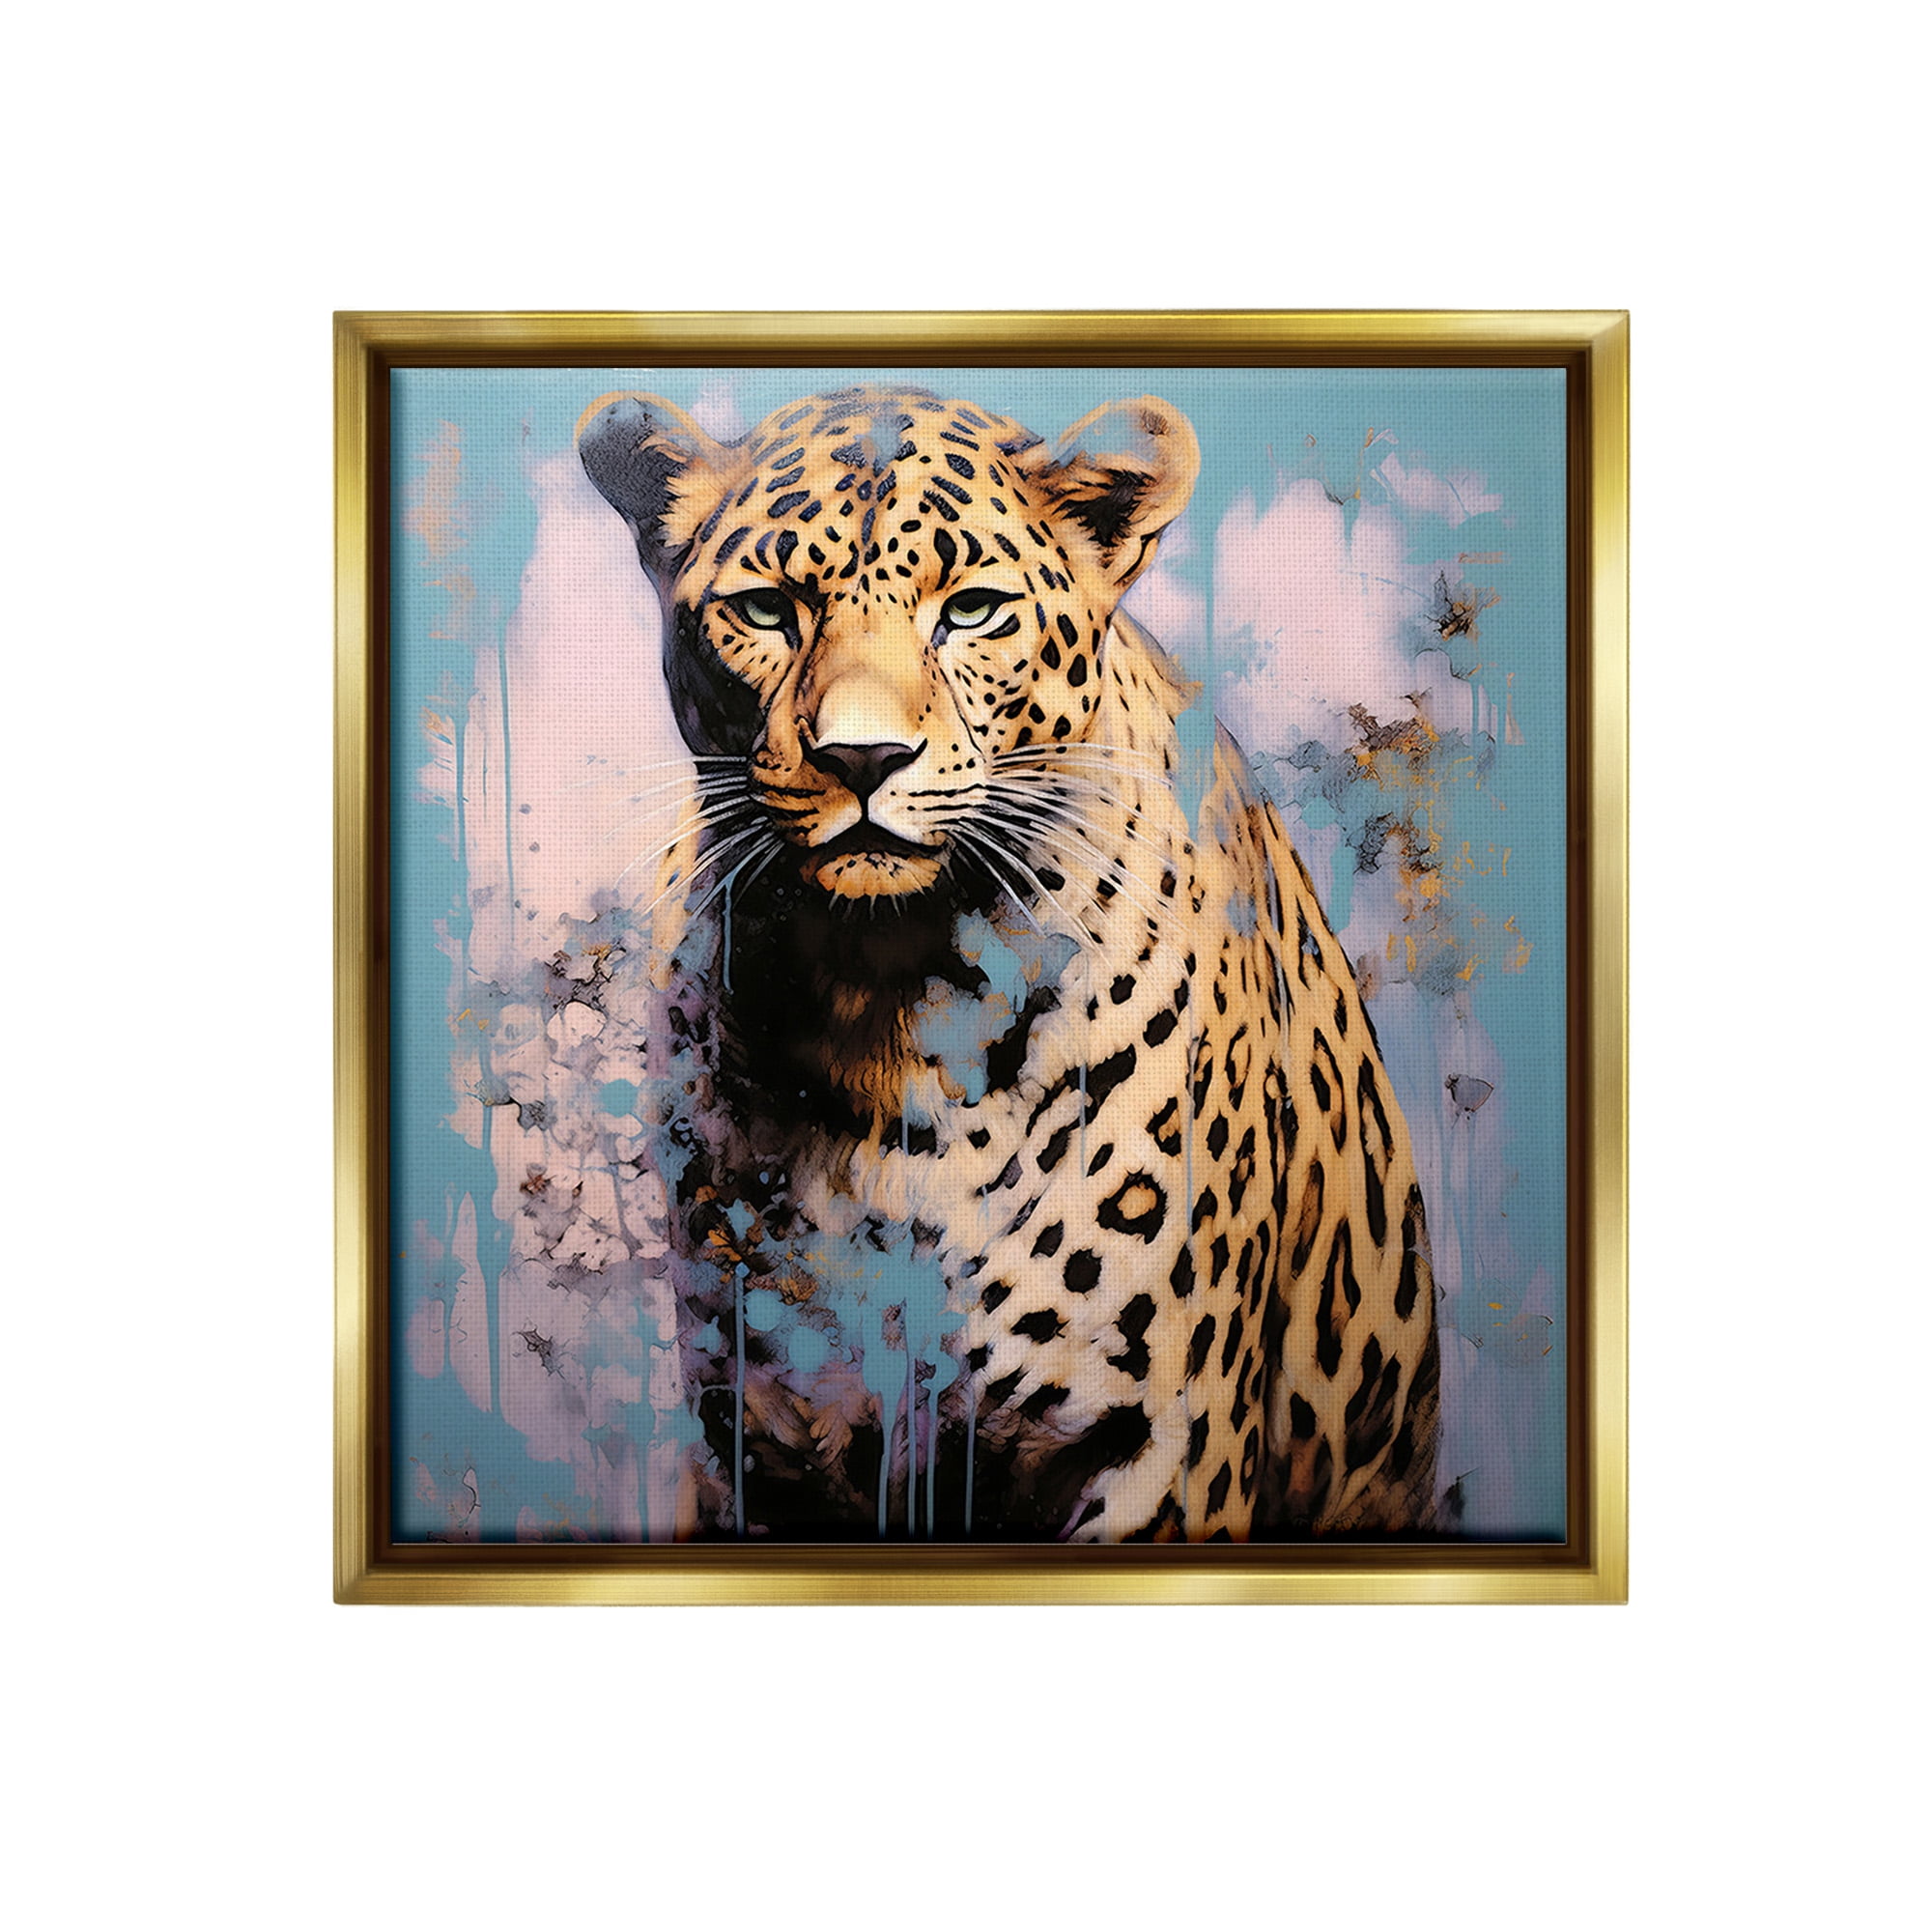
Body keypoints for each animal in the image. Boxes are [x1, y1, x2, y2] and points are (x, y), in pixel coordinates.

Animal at [576, 381, 1446, 1541]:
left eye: (974, 609)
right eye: (765, 611)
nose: (862, 758)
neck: (881, 1007)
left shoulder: (1150, 1450)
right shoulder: (756, 1445)